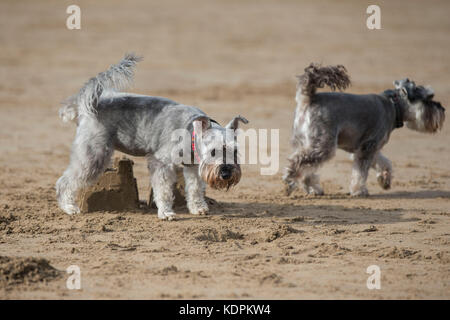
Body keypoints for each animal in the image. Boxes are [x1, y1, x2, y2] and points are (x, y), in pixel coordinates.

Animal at [55, 53, 250, 219]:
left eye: (235, 151)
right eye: (212, 152)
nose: (226, 173)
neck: (190, 132)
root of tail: (89, 106)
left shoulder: (193, 167)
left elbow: (195, 188)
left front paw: (198, 208)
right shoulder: (161, 163)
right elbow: (163, 191)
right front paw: (166, 213)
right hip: (93, 155)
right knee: (66, 181)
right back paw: (69, 207)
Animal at [284, 63, 444, 196]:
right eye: (428, 98)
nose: (443, 110)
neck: (394, 106)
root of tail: (308, 98)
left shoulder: (372, 148)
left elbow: (385, 163)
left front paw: (385, 180)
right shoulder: (367, 148)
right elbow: (361, 173)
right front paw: (359, 190)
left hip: (304, 142)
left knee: (307, 168)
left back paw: (313, 189)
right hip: (323, 145)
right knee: (299, 161)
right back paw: (289, 181)